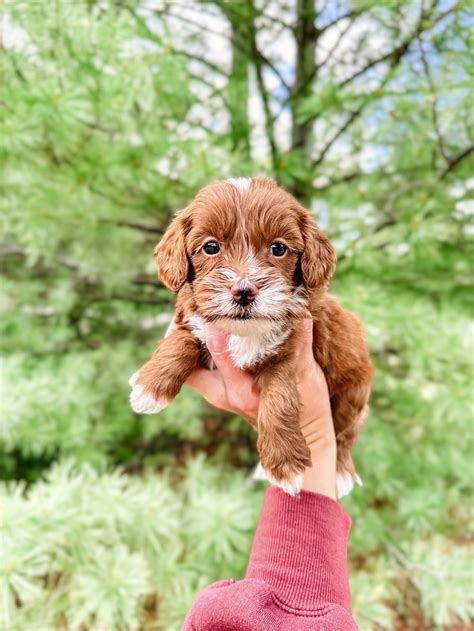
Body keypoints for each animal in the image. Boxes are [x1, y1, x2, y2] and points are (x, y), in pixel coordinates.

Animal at [130, 177, 374, 498]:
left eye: (278, 248)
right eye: (211, 247)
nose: (244, 291)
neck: (245, 332)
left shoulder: (289, 353)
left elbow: (278, 399)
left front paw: (285, 465)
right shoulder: (194, 322)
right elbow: (181, 341)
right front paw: (150, 385)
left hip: (354, 392)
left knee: (345, 434)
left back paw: (342, 472)